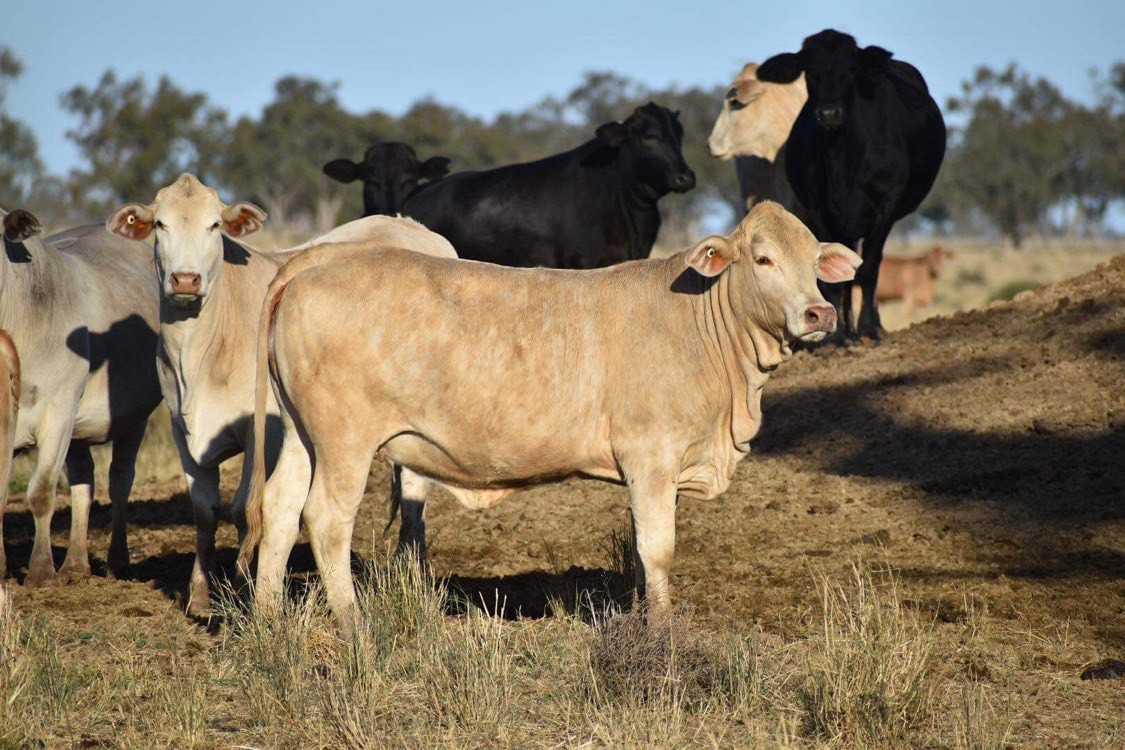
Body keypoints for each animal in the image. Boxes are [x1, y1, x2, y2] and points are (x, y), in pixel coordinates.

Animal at [0, 208, 162, 585]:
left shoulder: (58, 411)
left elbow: (41, 491)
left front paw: (41, 572)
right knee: (83, 481)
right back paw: (75, 563)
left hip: (134, 419)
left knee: (119, 480)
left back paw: (117, 561)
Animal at [107, 174, 456, 614]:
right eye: (159, 225)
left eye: (214, 226)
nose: (185, 279)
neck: (200, 354)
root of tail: (409, 224)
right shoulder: (178, 428)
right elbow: (205, 512)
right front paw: (200, 595)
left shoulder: (265, 432)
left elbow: (245, 509)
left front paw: (242, 589)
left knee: (414, 492)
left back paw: (411, 568)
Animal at [237, 201, 861, 623]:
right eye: (763, 257)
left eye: (814, 261)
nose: (819, 313)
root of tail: (311, 263)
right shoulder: (652, 456)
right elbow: (657, 550)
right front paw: (663, 634)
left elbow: (642, 554)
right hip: (344, 441)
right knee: (325, 519)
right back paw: (356, 629)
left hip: (301, 434)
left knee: (280, 507)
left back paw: (271, 621)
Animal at [757, 29, 946, 342]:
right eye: (811, 71)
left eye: (849, 71)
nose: (829, 113)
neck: (841, 157)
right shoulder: (821, 211)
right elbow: (835, 277)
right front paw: (836, 336)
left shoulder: (884, 210)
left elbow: (868, 269)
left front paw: (869, 328)